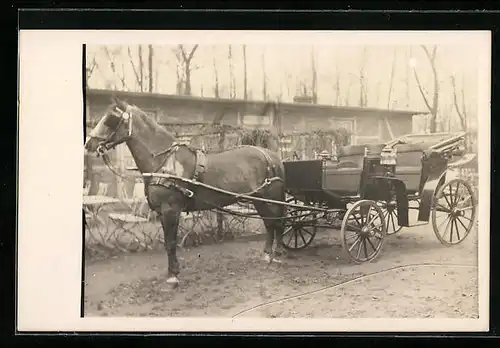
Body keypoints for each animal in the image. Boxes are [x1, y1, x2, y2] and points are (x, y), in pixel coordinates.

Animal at [84, 97, 288, 286]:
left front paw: (173, 275)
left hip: (268, 198)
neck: (164, 162)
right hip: (259, 199)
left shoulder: (170, 209)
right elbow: (168, 242)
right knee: (271, 224)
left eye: (110, 119)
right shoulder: (163, 212)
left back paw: (277, 254)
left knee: (276, 223)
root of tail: (271, 156)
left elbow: (171, 243)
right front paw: (173, 271)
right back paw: (268, 254)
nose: (89, 145)